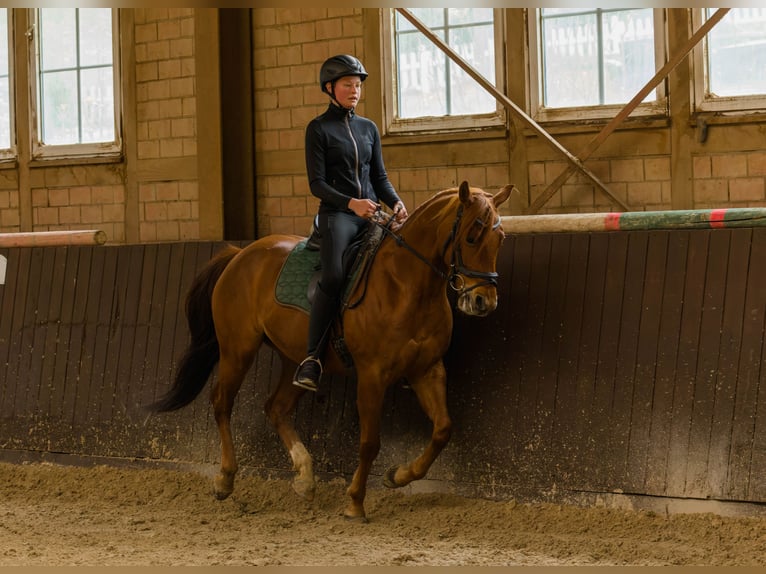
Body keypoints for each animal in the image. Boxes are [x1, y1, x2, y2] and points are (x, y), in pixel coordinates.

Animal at [148, 181, 512, 520]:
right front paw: (355, 503)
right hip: (237, 349)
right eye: (472, 237)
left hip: (294, 358)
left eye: (501, 238)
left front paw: (398, 475)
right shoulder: (372, 375)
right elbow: (370, 442)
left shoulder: (428, 369)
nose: (484, 302)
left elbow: (443, 429)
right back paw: (225, 479)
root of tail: (240, 254)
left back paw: (305, 478)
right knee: (222, 403)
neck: (405, 284)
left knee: (276, 407)